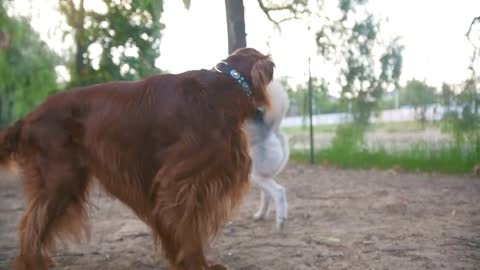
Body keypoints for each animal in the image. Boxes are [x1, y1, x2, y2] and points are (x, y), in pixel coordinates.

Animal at [0, 47, 274, 268]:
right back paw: (34, 263)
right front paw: (196, 265)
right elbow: (188, 232)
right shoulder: (177, 182)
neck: (220, 92)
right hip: (61, 179)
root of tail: (29, 117)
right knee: (30, 225)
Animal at [248, 80, 288, 230]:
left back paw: (281, 221)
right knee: (267, 195)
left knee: (278, 192)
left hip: (255, 174)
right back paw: (260, 215)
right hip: (260, 175)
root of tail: (272, 130)